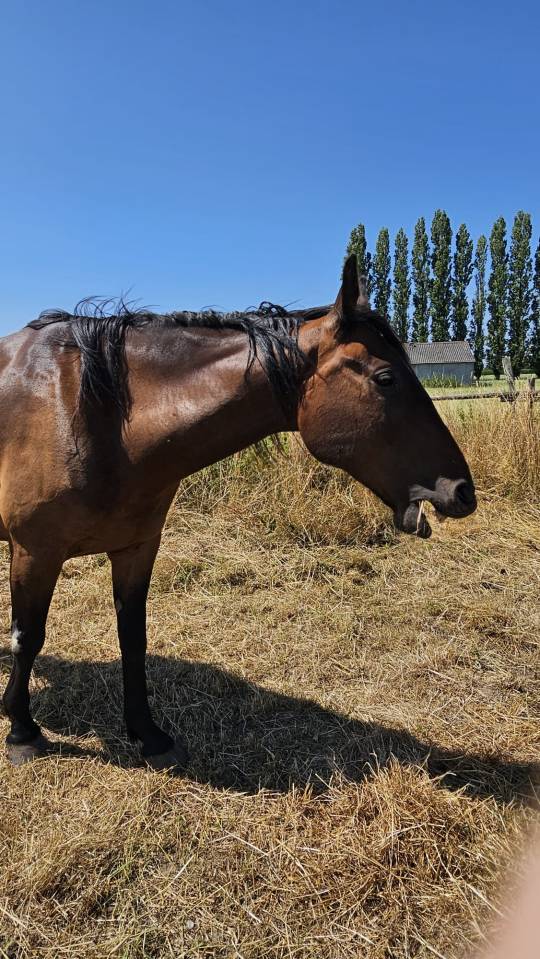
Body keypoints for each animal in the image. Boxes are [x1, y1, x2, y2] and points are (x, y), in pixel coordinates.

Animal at [0, 256, 476, 771]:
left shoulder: (136, 549)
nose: (461, 491)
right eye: (386, 378)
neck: (94, 413)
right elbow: (28, 637)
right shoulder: (35, 552)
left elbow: (133, 638)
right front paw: (23, 732)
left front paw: (149, 735)